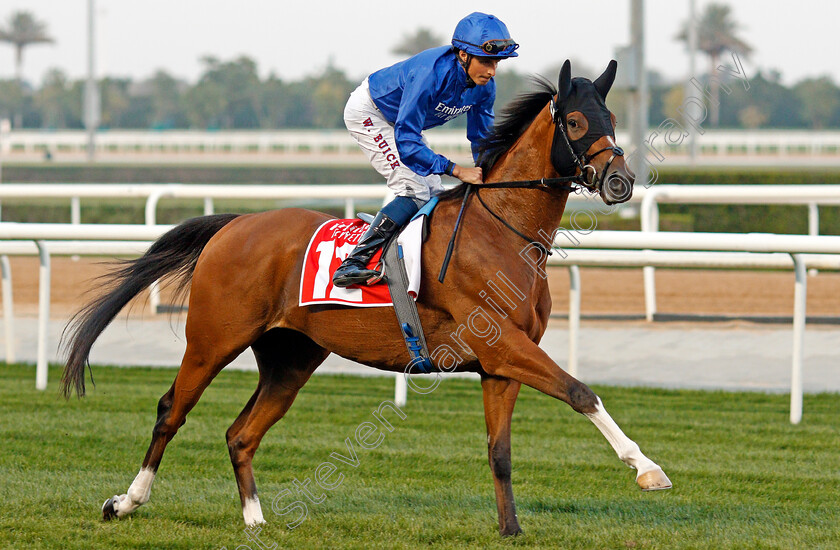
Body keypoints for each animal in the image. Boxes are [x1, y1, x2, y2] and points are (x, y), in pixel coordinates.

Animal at [60, 60, 668, 540]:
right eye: (576, 121)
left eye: (614, 121)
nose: (620, 181)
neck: (503, 231)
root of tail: (234, 225)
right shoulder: (504, 346)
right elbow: (581, 392)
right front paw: (646, 468)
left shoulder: (499, 365)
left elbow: (501, 451)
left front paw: (511, 529)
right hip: (213, 339)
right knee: (172, 411)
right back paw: (126, 502)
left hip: (291, 358)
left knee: (241, 433)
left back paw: (255, 518)